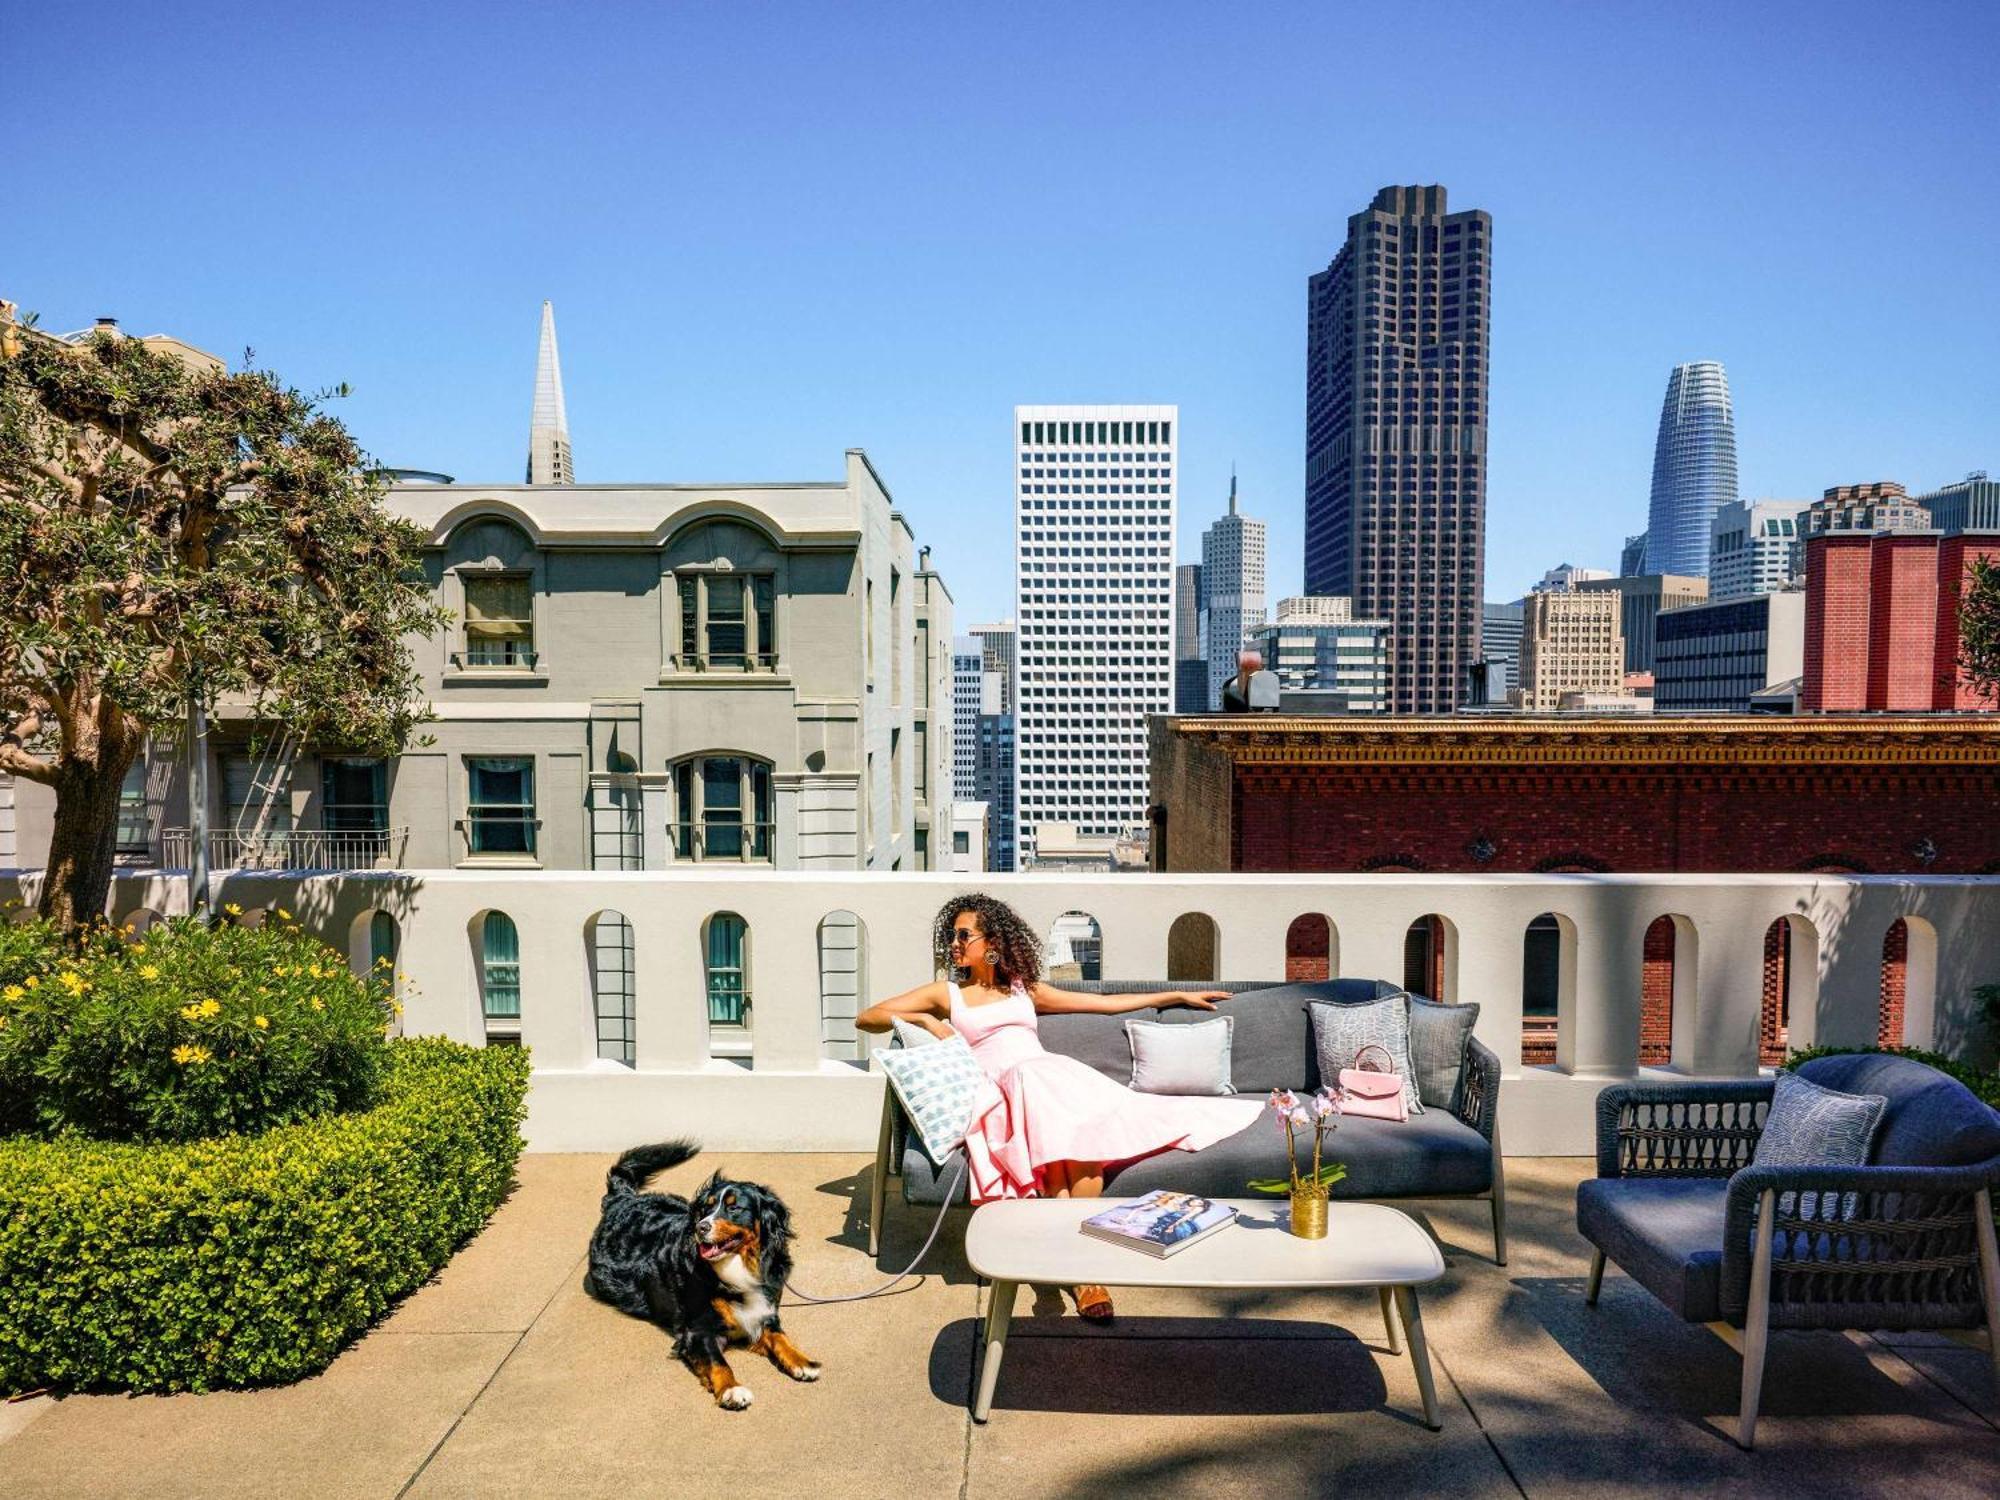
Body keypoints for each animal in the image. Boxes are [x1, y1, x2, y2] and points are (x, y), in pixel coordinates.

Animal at [584, 1144, 820, 1416]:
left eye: (734, 1208)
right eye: (707, 1209)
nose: (701, 1227)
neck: (737, 1265)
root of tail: (622, 1199)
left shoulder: (765, 1312)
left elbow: (781, 1338)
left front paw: (802, 1361)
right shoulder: (698, 1331)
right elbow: (718, 1362)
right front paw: (732, 1390)